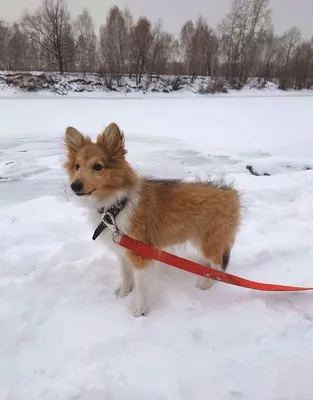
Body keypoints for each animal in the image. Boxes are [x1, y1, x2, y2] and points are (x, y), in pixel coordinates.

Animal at [62, 123, 239, 318]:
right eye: (77, 166)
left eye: (98, 166)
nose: (75, 185)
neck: (116, 208)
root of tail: (231, 194)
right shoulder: (122, 251)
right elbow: (125, 275)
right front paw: (123, 294)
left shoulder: (139, 253)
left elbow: (140, 286)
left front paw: (140, 310)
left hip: (209, 241)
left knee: (218, 265)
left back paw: (207, 283)